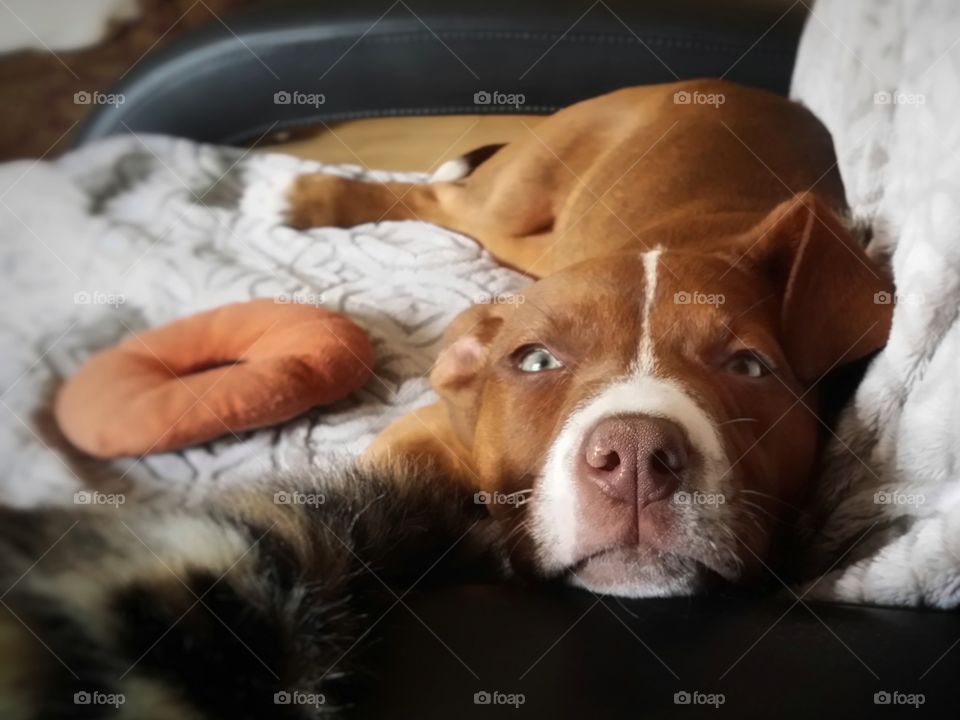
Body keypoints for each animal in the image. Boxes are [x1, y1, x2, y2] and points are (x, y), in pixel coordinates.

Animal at [284, 77, 892, 596]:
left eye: (748, 367)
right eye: (535, 361)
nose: (636, 454)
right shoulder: (426, 434)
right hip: (520, 191)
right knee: (446, 199)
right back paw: (316, 196)